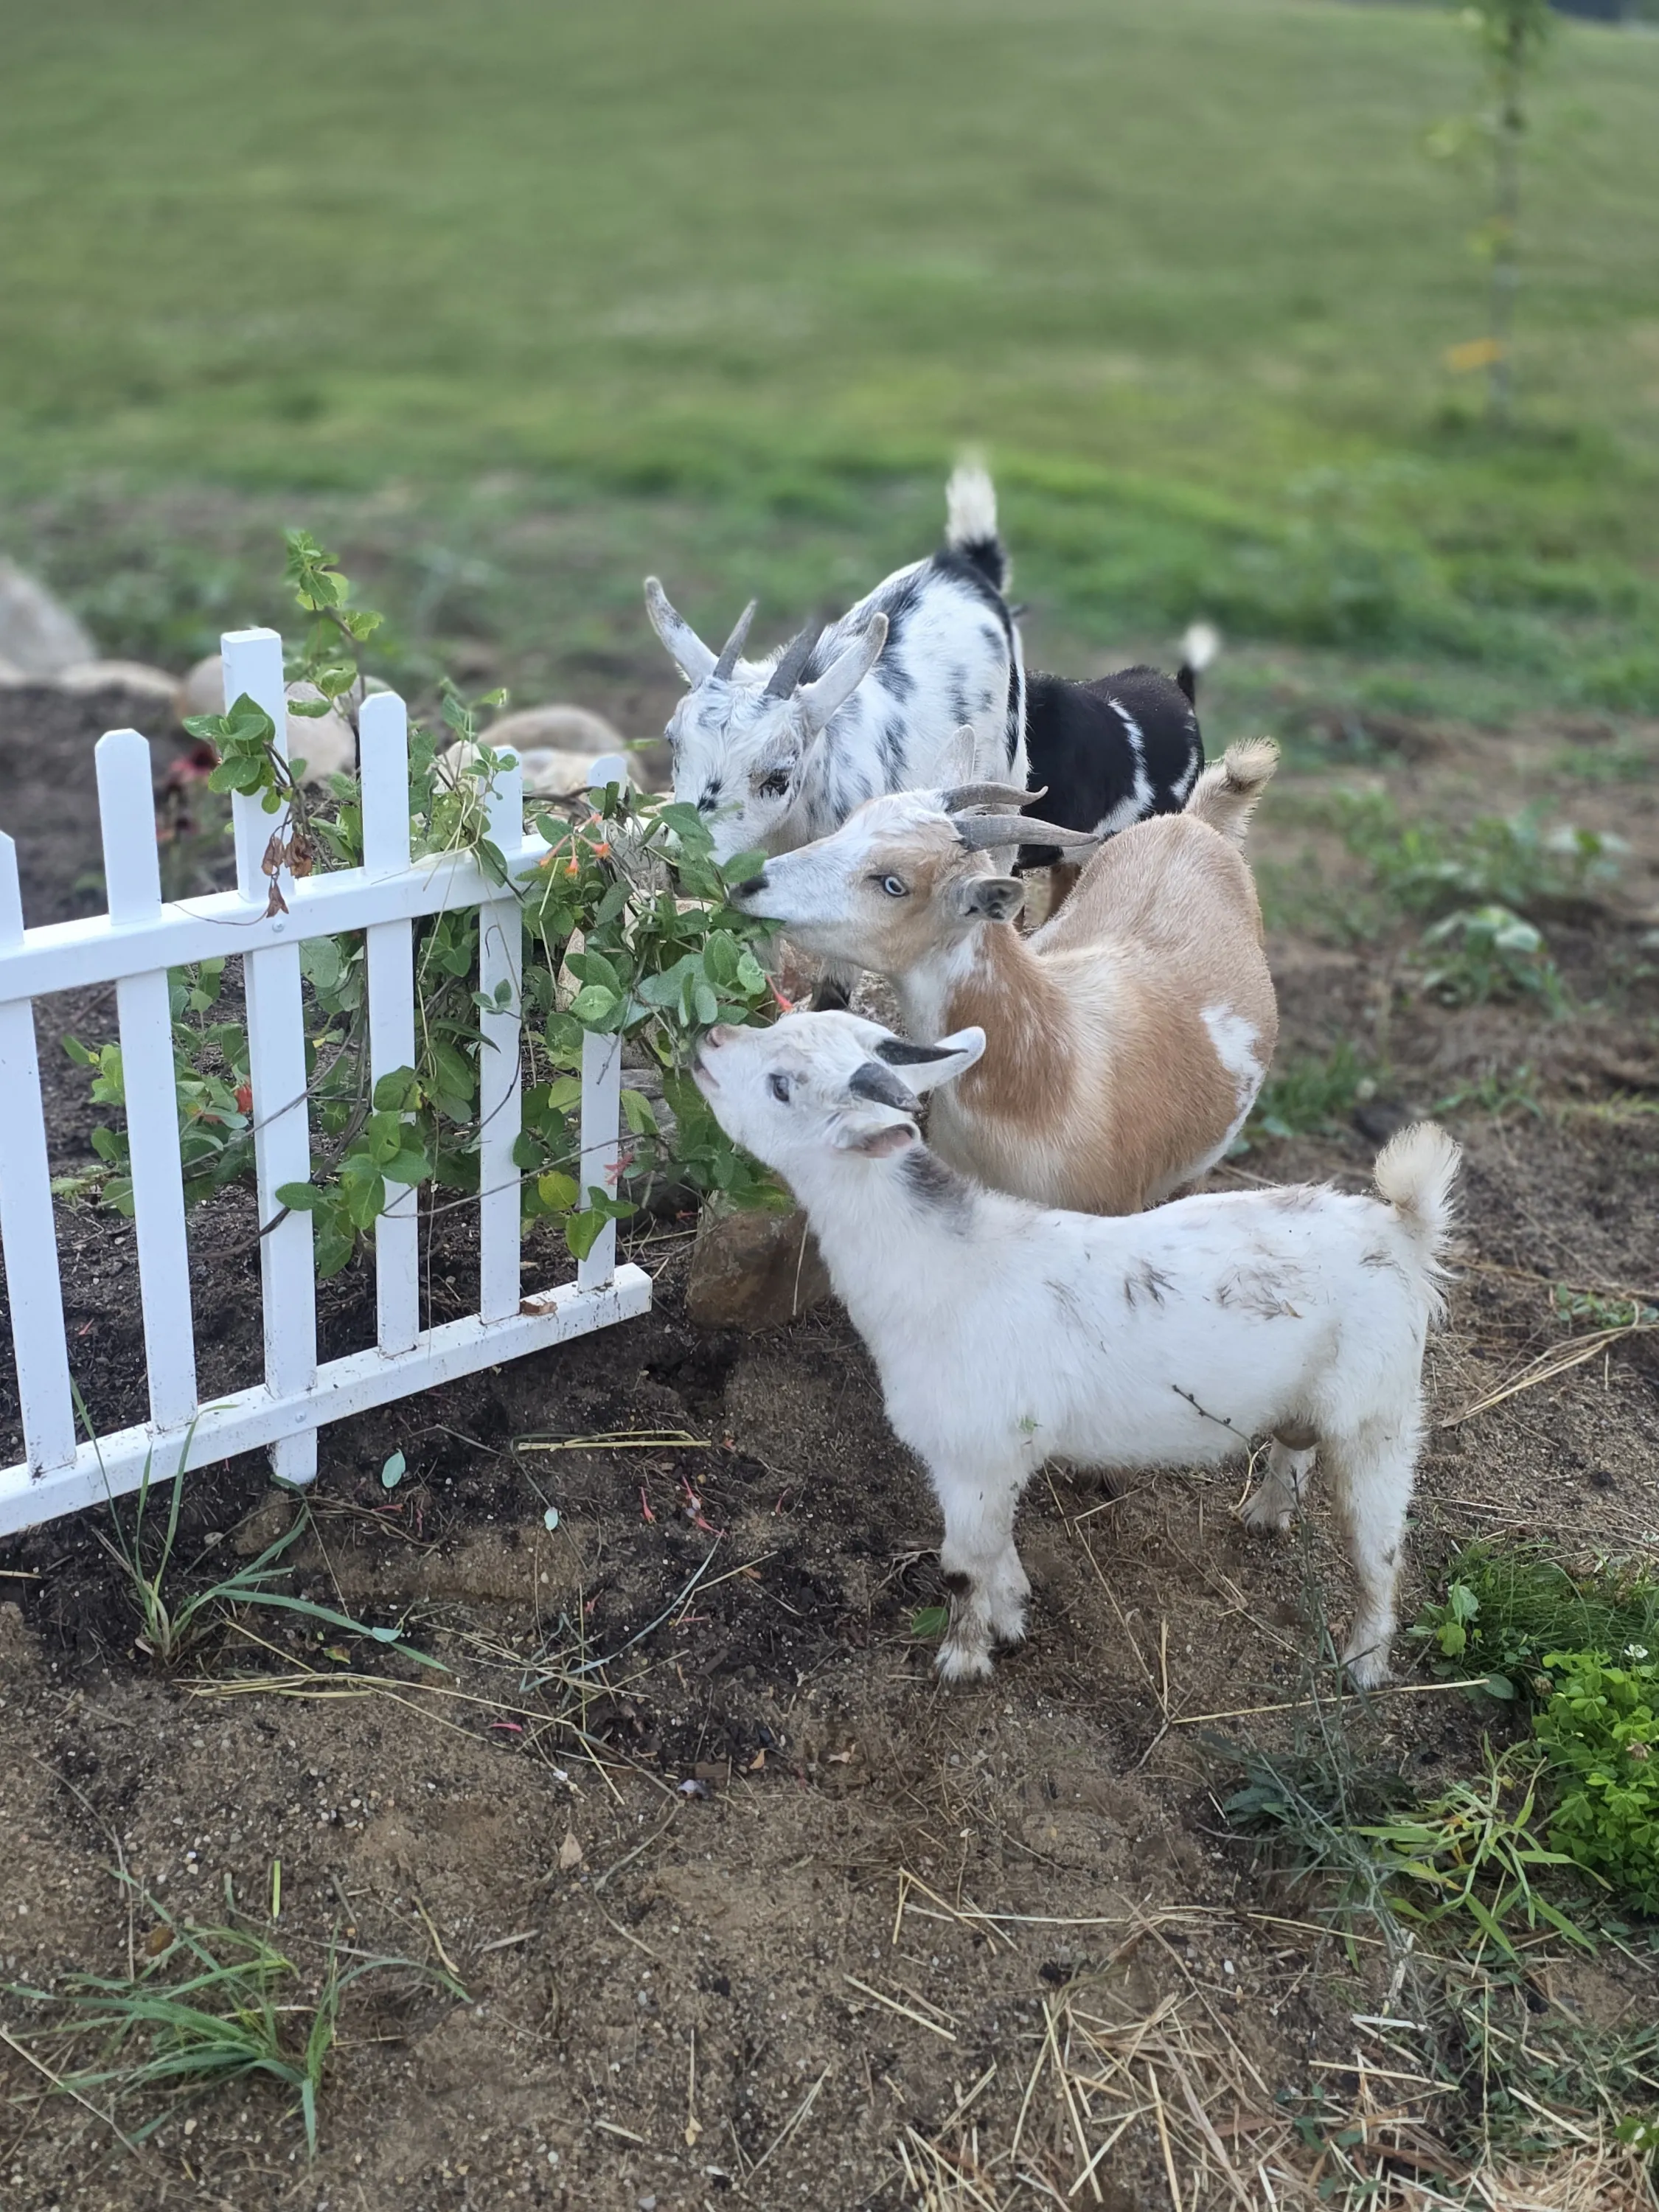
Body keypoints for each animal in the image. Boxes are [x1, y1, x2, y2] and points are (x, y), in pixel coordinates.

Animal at [692, 1009, 1460, 1687]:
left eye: (781, 1086)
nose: (710, 1038)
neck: (944, 1268)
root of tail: (1402, 1230)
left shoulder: (972, 1457)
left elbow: (962, 1566)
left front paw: (963, 1661)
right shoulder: (995, 1463)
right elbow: (997, 1550)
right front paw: (1012, 1614)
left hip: (1381, 1415)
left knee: (1380, 1548)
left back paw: (1363, 1663)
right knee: (1296, 1443)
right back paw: (1267, 1513)